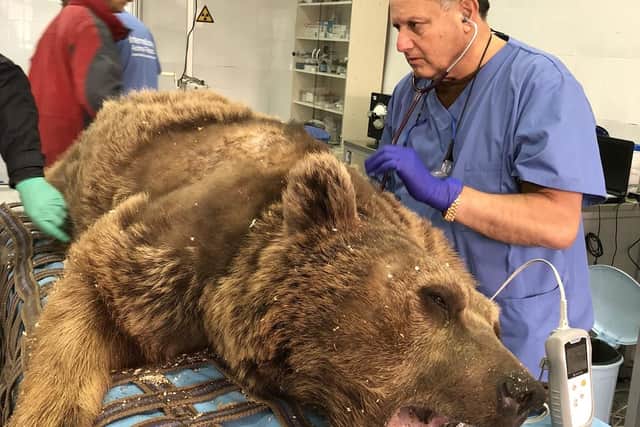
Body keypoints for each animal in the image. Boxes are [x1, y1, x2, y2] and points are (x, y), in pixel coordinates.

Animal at [9, 90, 545, 427]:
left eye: (498, 325)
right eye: (436, 298)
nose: (525, 390)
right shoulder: (179, 249)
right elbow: (91, 293)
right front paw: (50, 410)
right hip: (90, 166)